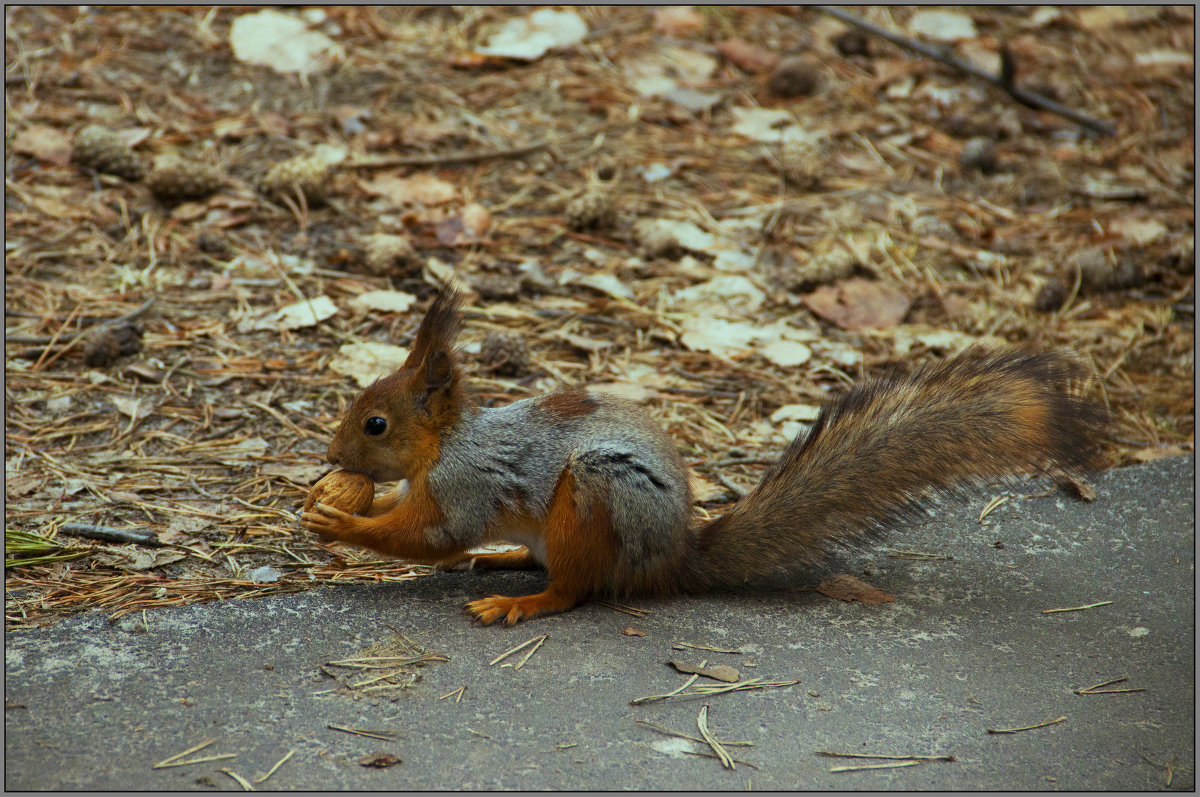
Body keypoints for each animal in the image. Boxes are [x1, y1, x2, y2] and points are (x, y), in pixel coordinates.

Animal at [300, 289, 1104, 624]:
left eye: (375, 423)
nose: (330, 452)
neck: (448, 441)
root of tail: (672, 555)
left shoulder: (464, 485)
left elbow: (433, 536)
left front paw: (338, 522)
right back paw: (505, 561)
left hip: (597, 497)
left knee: (578, 589)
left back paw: (521, 600)